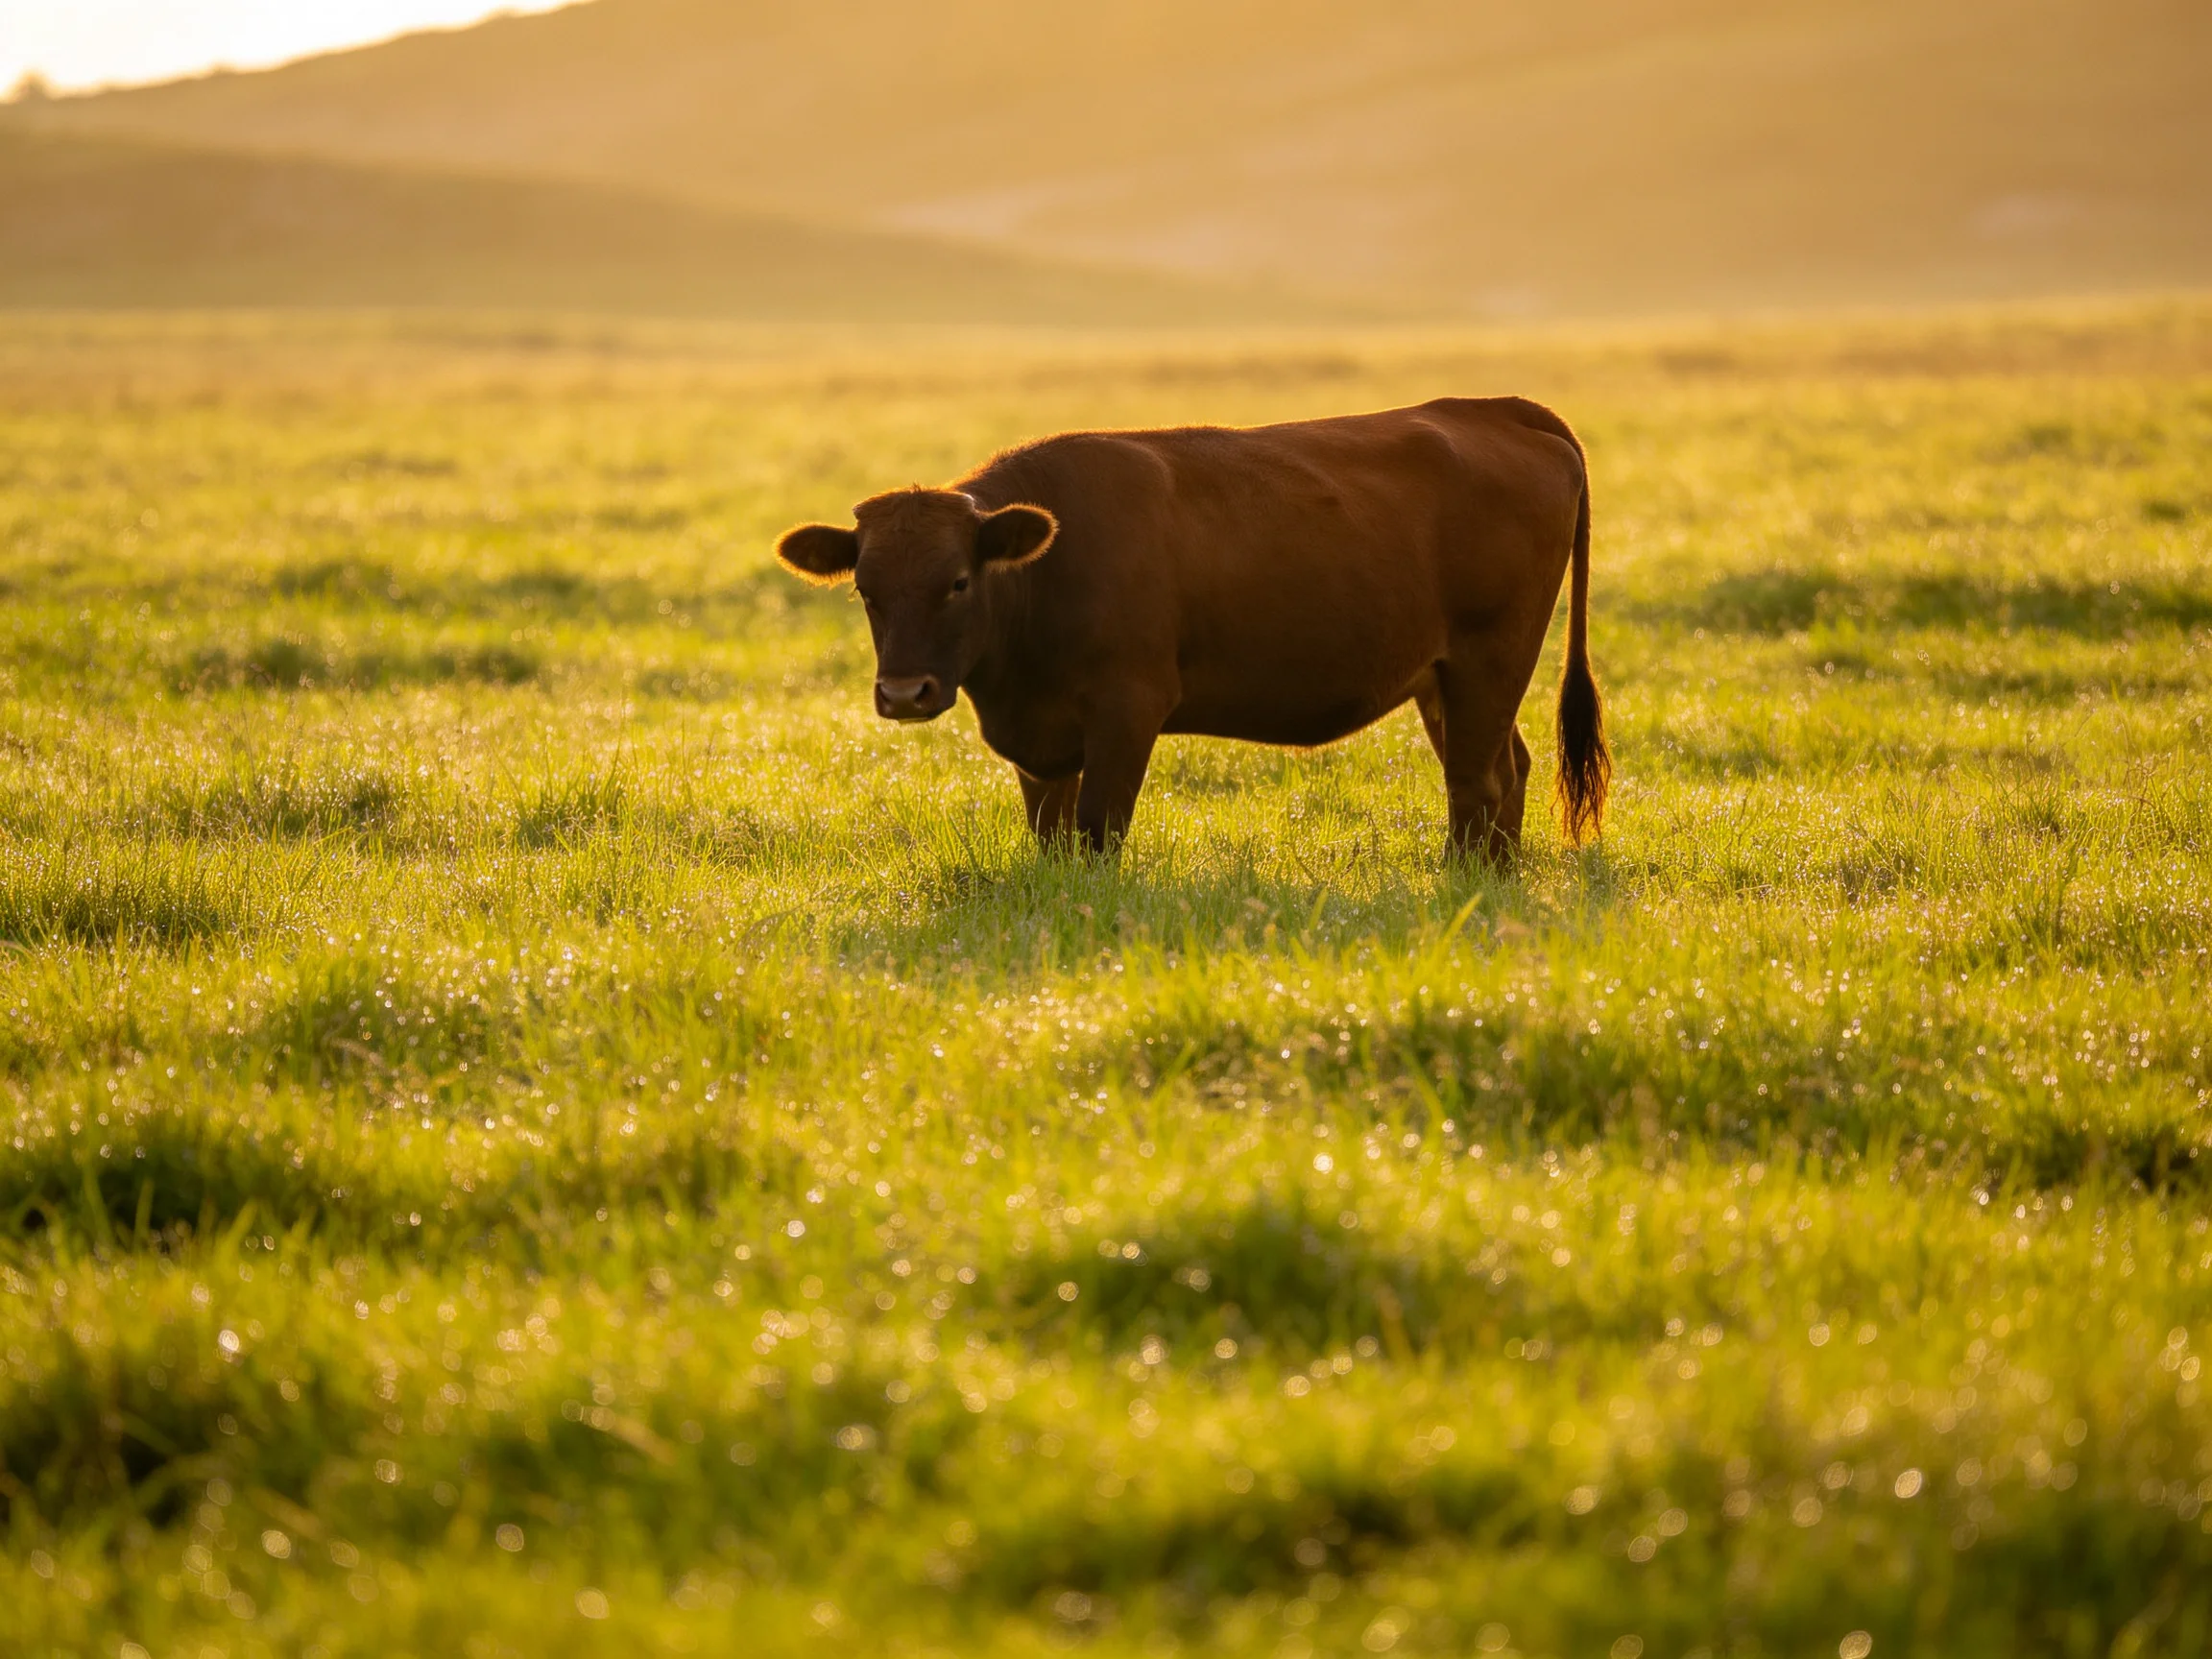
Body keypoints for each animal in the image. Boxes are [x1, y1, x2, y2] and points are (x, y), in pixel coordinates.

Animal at [775, 396, 1608, 862]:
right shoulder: (1041, 740)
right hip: (1441, 677)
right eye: (865, 590)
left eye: (957, 581)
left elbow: (1097, 831)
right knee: (1509, 770)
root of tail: (1490, 406)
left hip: (1490, 657)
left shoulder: (1129, 707)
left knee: (1478, 782)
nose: (904, 693)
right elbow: (1051, 837)